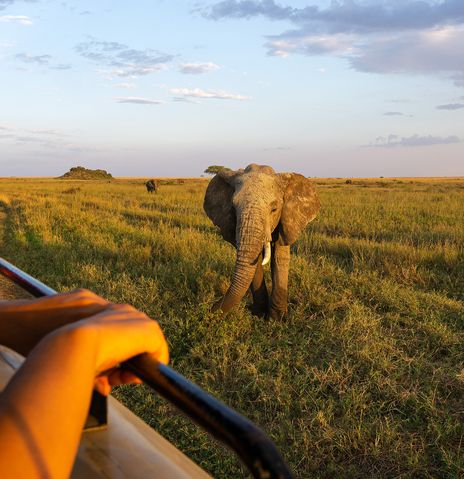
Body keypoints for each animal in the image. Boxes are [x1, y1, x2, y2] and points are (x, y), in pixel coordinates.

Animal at [205, 163, 320, 320]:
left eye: (274, 209)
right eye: (233, 209)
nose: (209, 310)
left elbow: (279, 256)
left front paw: (277, 319)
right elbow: (256, 260)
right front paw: (259, 314)